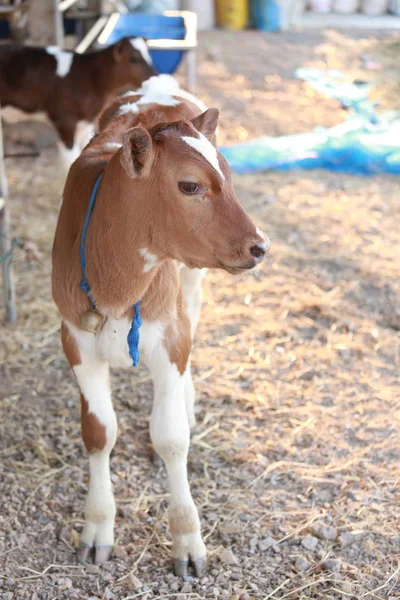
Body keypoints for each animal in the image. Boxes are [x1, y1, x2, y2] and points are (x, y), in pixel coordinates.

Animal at [0, 37, 156, 170]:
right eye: (133, 59)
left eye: (149, 55)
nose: (154, 75)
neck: (92, 77)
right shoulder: (65, 121)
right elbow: (69, 161)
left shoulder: (85, 124)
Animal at [50, 75, 268, 576]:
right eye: (189, 185)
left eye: (228, 174)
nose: (259, 245)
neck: (116, 282)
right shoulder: (75, 338)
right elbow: (98, 432)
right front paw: (97, 527)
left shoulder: (169, 336)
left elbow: (171, 438)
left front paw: (187, 540)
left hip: (190, 283)